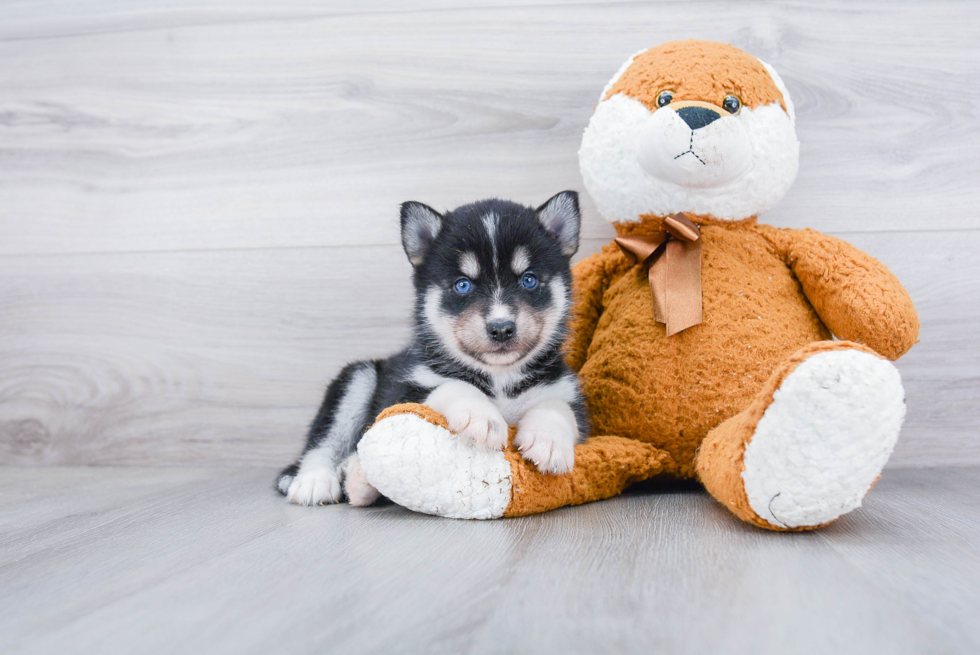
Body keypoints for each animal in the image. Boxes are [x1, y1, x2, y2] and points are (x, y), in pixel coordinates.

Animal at [274, 190, 588, 508]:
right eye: (462, 285)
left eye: (529, 280)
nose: (501, 328)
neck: (499, 380)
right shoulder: (402, 391)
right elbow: (450, 386)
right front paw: (481, 415)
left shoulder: (566, 394)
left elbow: (558, 406)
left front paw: (549, 439)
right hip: (358, 378)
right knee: (323, 443)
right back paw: (318, 480)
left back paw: (358, 478)